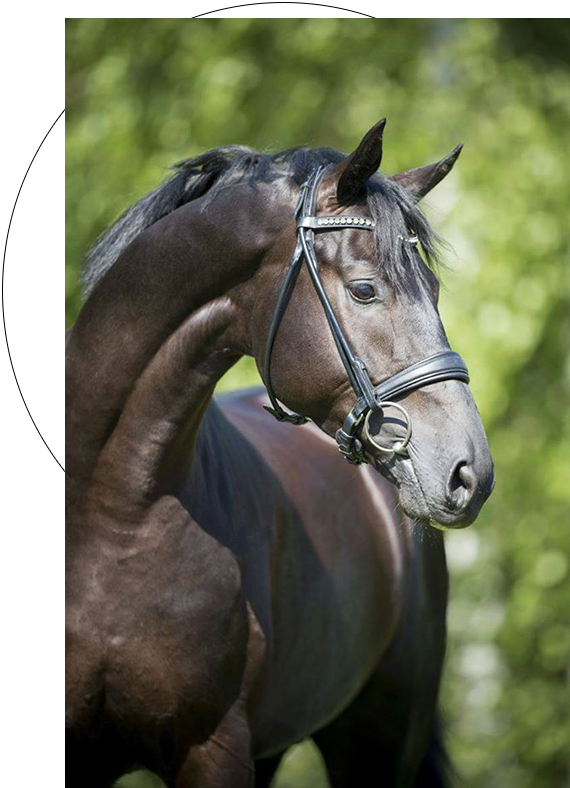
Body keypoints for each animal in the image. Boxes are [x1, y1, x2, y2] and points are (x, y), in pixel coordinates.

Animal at [64, 118, 492, 788]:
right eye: (365, 290)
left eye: (436, 288)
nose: (470, 472)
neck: (108, 511)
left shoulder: (214, 749)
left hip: (380, 737)